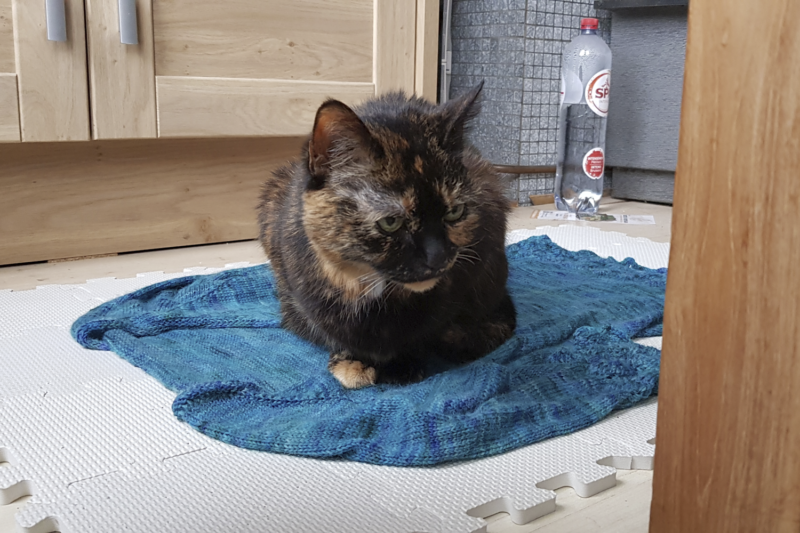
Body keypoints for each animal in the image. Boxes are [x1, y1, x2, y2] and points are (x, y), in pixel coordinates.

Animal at [260, 84, 516, 390]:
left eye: (455, 212)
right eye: (390, 222)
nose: (439, 257)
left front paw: (401, 365)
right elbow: (328, 330)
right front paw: (354, 361)